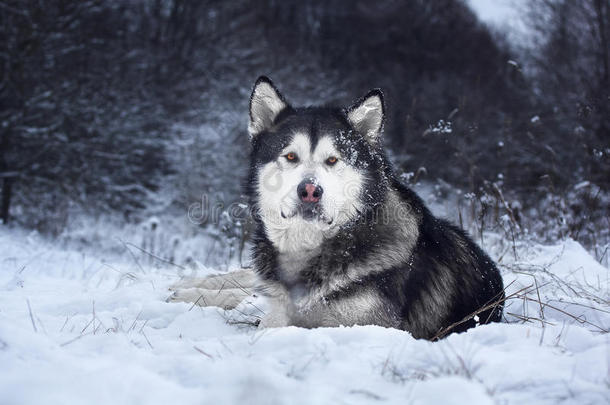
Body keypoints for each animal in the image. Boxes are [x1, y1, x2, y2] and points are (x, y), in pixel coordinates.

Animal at [167, 76, 504, 340]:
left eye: (332, 160)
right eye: (291, 157)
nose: (310, 191)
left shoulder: (366, 325)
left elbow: (271, 319)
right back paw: (190, 287)